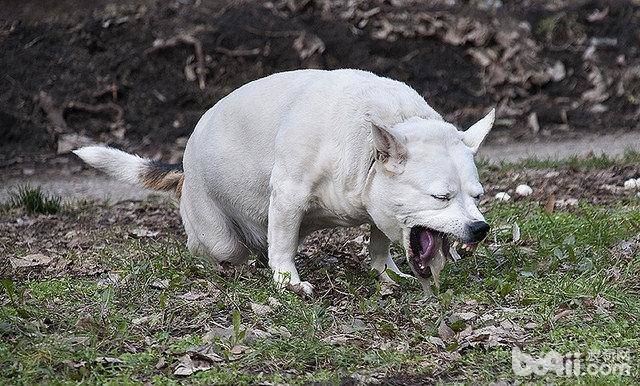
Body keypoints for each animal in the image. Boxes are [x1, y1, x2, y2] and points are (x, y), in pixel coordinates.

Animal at [76, 68, 496, 296]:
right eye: (440, 197)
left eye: (477, 197)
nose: (480, 229)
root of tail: (185, 172)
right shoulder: (289, 196)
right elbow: (283, 246)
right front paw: (287, 283)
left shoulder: (378, 203)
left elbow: (379, 240)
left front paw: (384, 271)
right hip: (218, 234)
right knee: (218, 248)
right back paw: (223, 265)